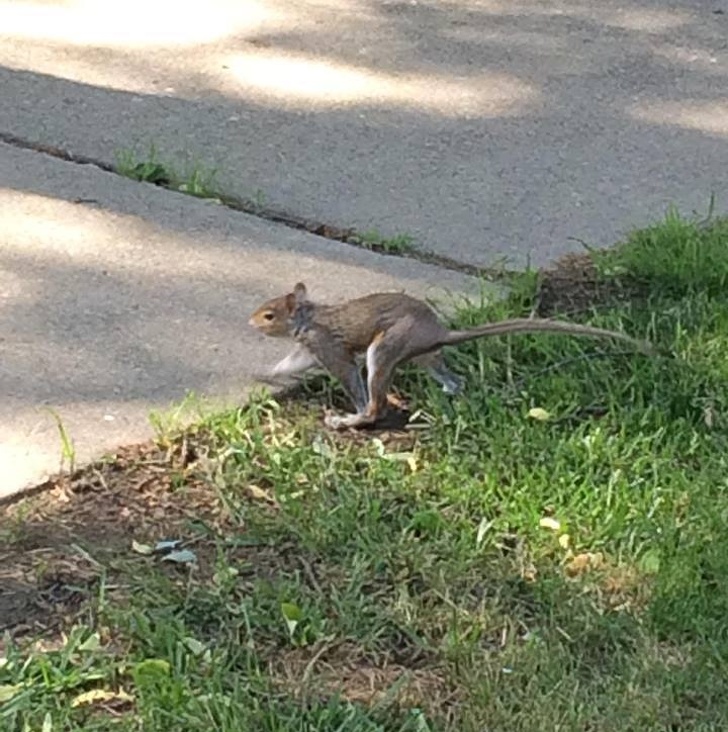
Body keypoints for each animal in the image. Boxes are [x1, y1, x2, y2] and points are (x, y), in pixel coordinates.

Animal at [247, 280, 652, 428]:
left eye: (269, 315)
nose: (250, 322)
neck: (308, 318)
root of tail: (438, 331)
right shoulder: (308, 349)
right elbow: (288, 364)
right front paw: (263, 374)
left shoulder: (328, 348)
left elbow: (346, 374)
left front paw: (353, 411)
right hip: (426, 357)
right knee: (455, 379)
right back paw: (451, 394)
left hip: (386, 349)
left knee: (377, 402)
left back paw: (353, 420)